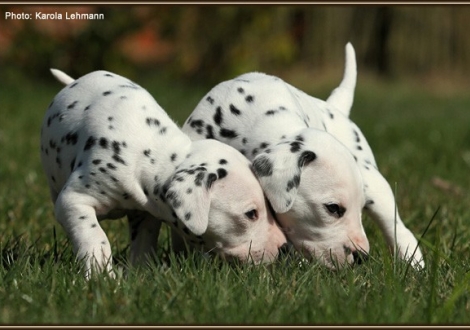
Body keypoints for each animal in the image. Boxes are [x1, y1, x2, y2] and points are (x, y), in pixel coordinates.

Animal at [42, 69, 286, 278]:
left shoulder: (145, 214)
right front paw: (101, 276)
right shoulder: (74, 201)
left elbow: (143, 244)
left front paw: (139, 274)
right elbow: (95, 236)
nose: (283, 247)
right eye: (251, 214)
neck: (149, 152)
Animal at [184, 42, 426, 270]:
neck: (250, 119)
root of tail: (335, 107)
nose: (361, 257)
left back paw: (414, 264)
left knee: (397, 227)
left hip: (375, 184)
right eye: (333, 208)